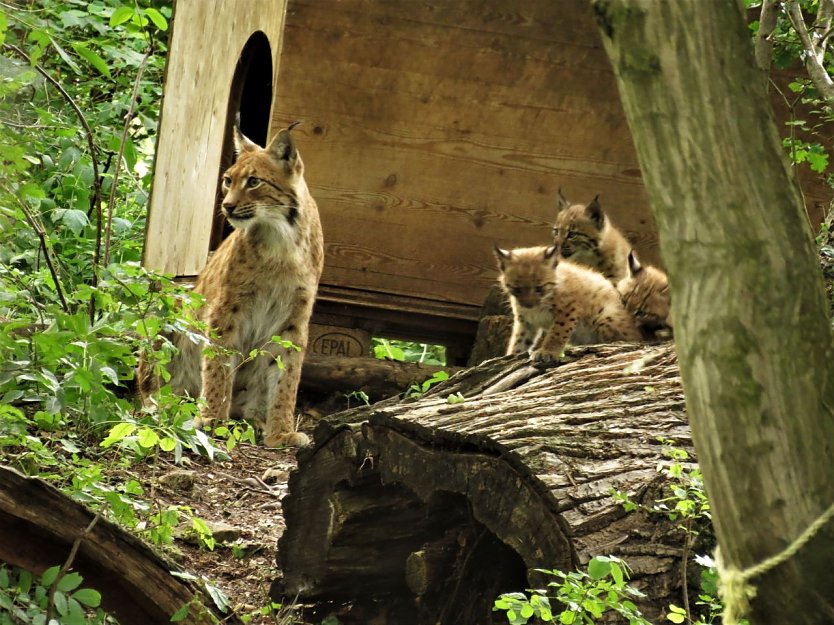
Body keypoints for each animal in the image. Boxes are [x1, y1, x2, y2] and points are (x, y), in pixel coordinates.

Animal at [136, 119, 322, 446]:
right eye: (227, 180)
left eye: (254, 182)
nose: (227, 206)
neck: (281, 241)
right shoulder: (225, 308)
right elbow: (218, 363)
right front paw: (212, 419)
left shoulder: (295, 319)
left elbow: (288, 376)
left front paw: (281, 432)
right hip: (172, 306)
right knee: (148, 390)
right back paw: (168, 405)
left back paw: (253, 419)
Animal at [490, 245, 640, 360]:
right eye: (517, 289)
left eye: (539, 288)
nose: (528, 305)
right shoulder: (525, 320)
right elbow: (519, 340)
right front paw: (512, 355)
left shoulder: (568, 309)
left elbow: (557, 332)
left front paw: (547, 352)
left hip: (604, 316)